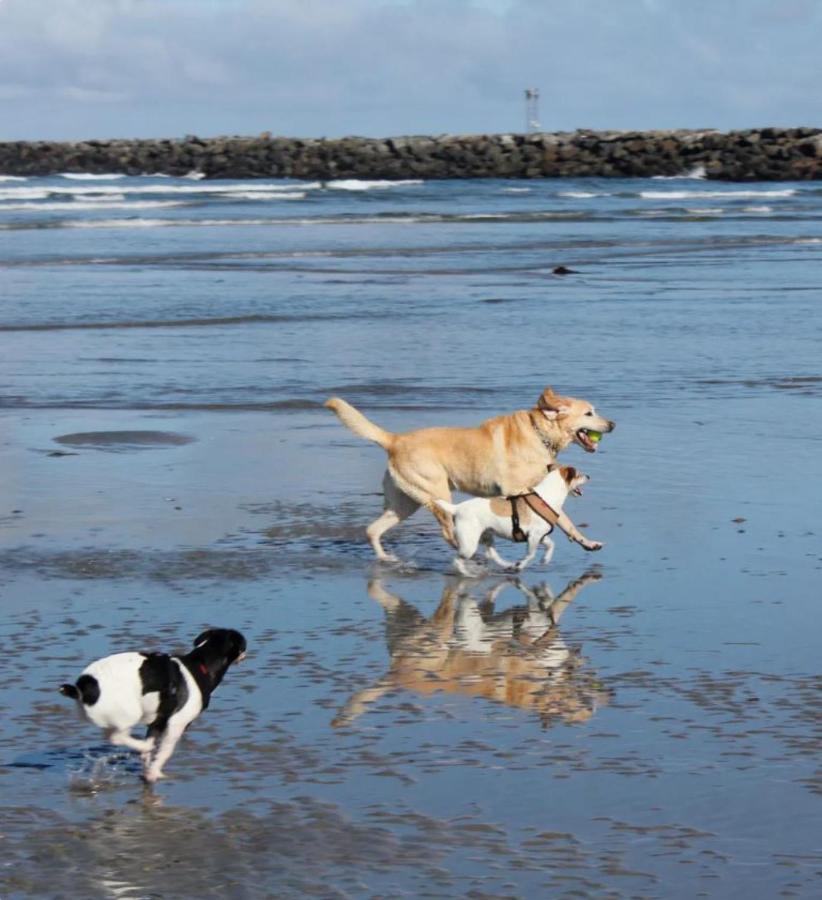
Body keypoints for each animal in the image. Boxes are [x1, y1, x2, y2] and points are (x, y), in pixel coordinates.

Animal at [60, 628, 246, 784]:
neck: (201, 664)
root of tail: (83, 687)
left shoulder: (157, 722)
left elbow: (150, 749)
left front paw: (147, 767)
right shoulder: (177, 724)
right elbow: (165, 752)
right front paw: (153, 772)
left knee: (112, 735)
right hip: (131, 713)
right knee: (116, 737)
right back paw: (144, 747)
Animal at [434, 464, 600, 576]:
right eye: (578, 475)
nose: (589, 476)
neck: (546, 497)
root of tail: (456, 508)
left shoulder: (540, 537)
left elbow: (551, 545)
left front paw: (545, 560)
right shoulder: (533, 537)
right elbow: (531, 555)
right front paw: (521, 565)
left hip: (486, 535)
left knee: (492, 554)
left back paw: (507, 565)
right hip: (469, 544)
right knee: (457, 560)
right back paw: (467, 573)